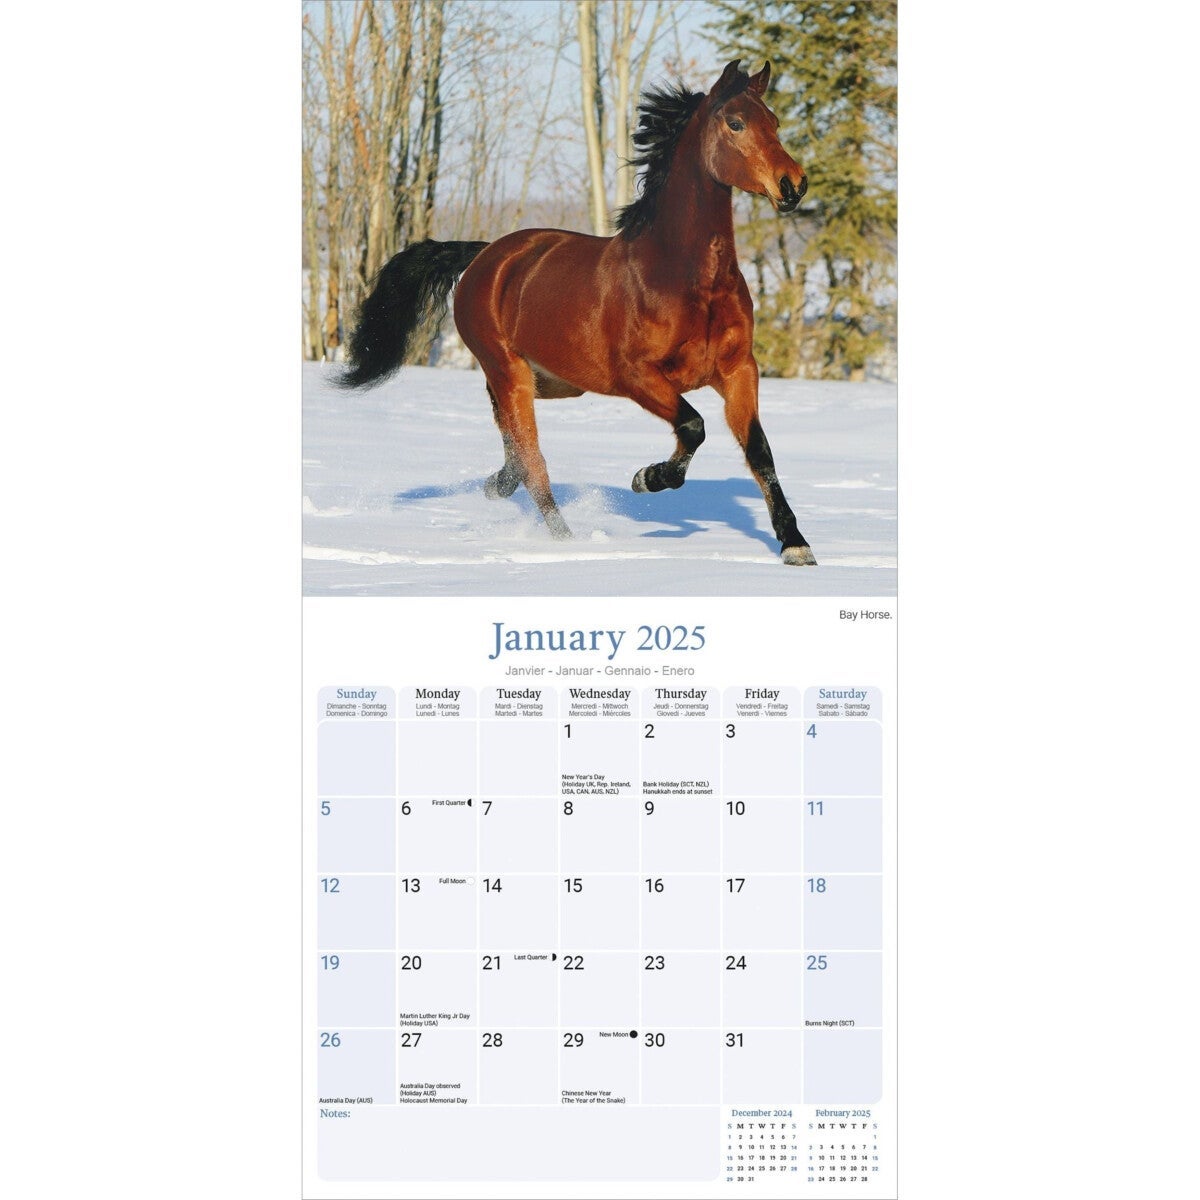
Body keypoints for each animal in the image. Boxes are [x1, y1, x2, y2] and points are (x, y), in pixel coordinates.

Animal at [338, 59, 816, 565]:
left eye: (774, 122)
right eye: (736, 123)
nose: (793, 184)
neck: (686, 278)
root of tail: (486, 256)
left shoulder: (739, 370)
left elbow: (759, 451)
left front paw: (795, 544)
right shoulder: (636, 377)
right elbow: (693, 426)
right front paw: (647, 479)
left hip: (554, 382)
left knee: (514, 450)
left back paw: (497, 486)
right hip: (510, 372)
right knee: (532, 462)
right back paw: (564, 541)